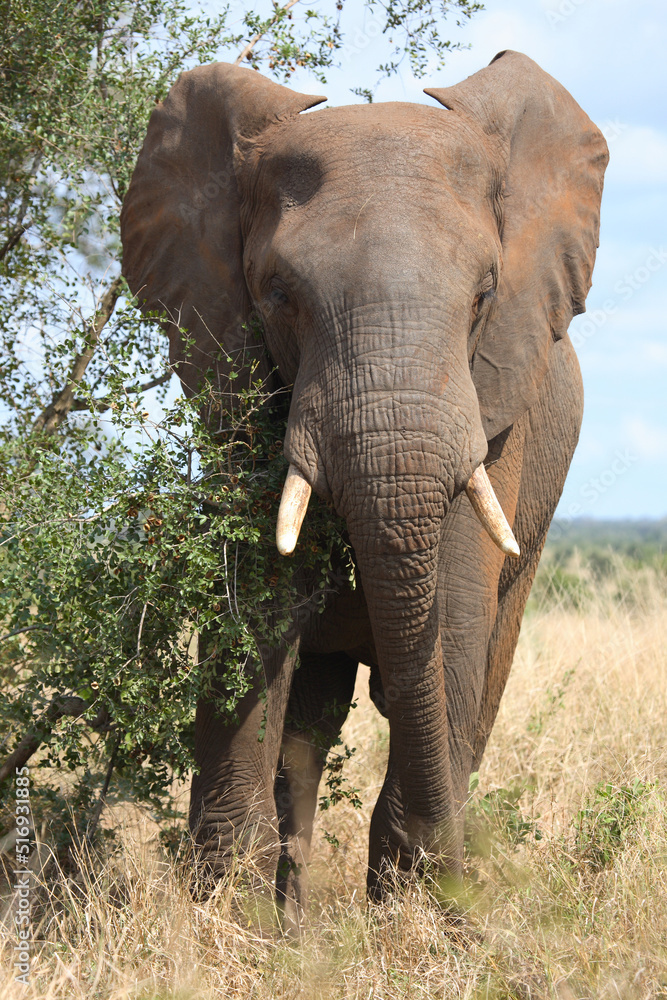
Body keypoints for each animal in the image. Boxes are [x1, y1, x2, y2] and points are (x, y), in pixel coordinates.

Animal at [120, 49, 607, 927]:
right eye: (278, 294)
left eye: (484, 294)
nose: (455, 883)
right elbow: (253, 614)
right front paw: (229, 917)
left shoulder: (494, 415)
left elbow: (453, 617)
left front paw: (416, 913)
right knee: (310, 727)